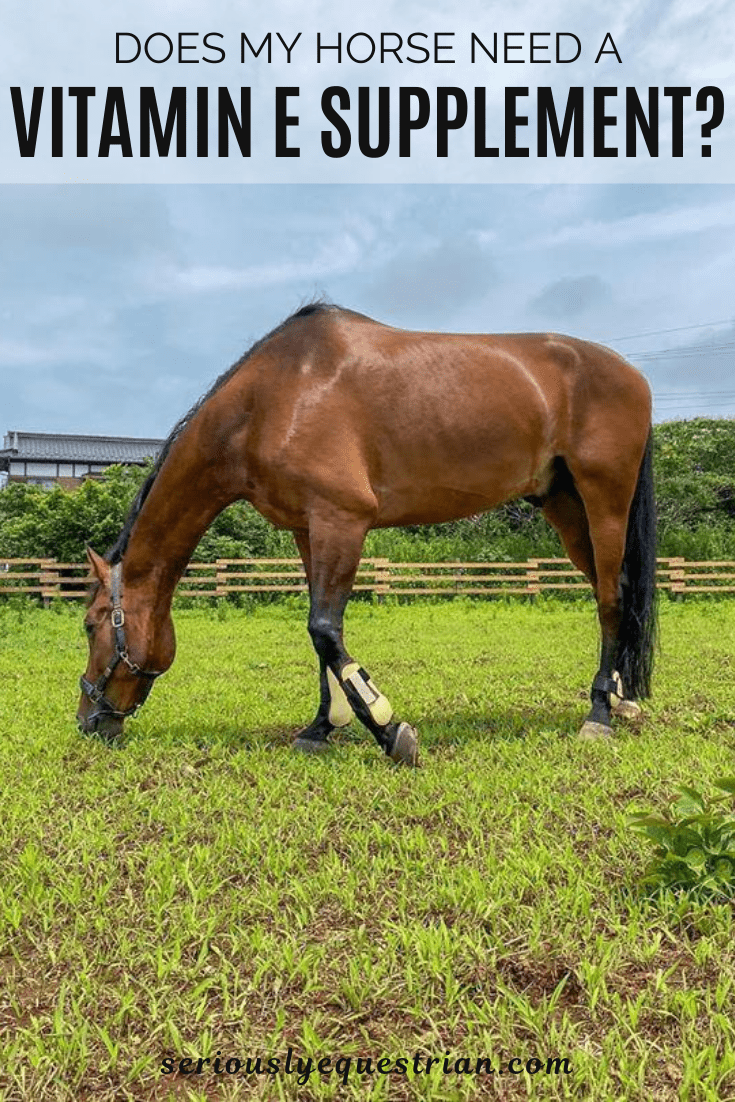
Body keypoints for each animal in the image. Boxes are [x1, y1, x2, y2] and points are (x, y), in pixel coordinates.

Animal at [78, 302, 657, 766]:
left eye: (89, 625)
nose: (87, 719)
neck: (273, 399)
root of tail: (634, 375)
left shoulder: (343, 520)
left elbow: (324, 630)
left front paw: (388, 728)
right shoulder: (308, 531)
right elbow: (319, 636)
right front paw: (320, 727)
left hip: (604, 500)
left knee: (609, 599)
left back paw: (598, 715)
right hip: (565, 507)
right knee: (617, 592)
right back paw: (622, 699)